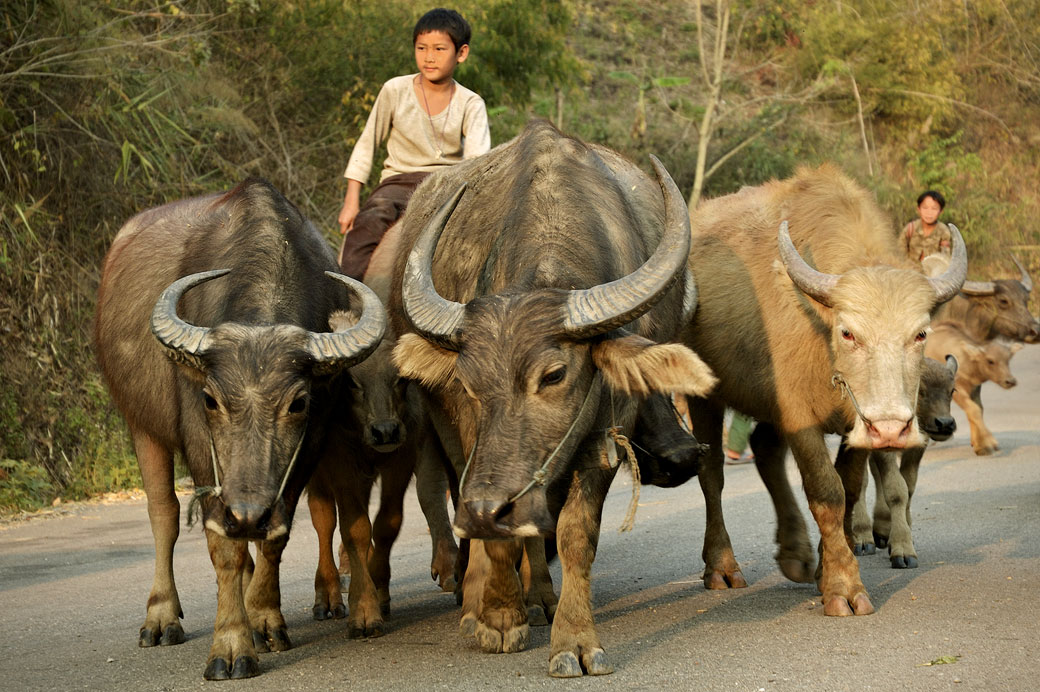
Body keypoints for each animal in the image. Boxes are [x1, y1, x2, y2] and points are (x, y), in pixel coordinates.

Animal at [92, 175, 386, 678]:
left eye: (299, 402)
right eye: (210, 399)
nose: (246, 512)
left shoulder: (305, 452)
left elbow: (275, 538)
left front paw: (264, 618)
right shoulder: (202, 451)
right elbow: (223, 548)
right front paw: (231, 643)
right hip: (140, 424)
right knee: (163, 514)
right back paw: (161, 617)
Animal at [386, 118, 719, 674]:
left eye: (555, 374)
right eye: (469, 383)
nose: (680, 457)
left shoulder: (603, 436)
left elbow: (575, 533)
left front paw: (575, 641)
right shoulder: (475, 447)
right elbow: (495, 533)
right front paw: (499, 618)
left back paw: (541, 595)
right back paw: (479, 603)